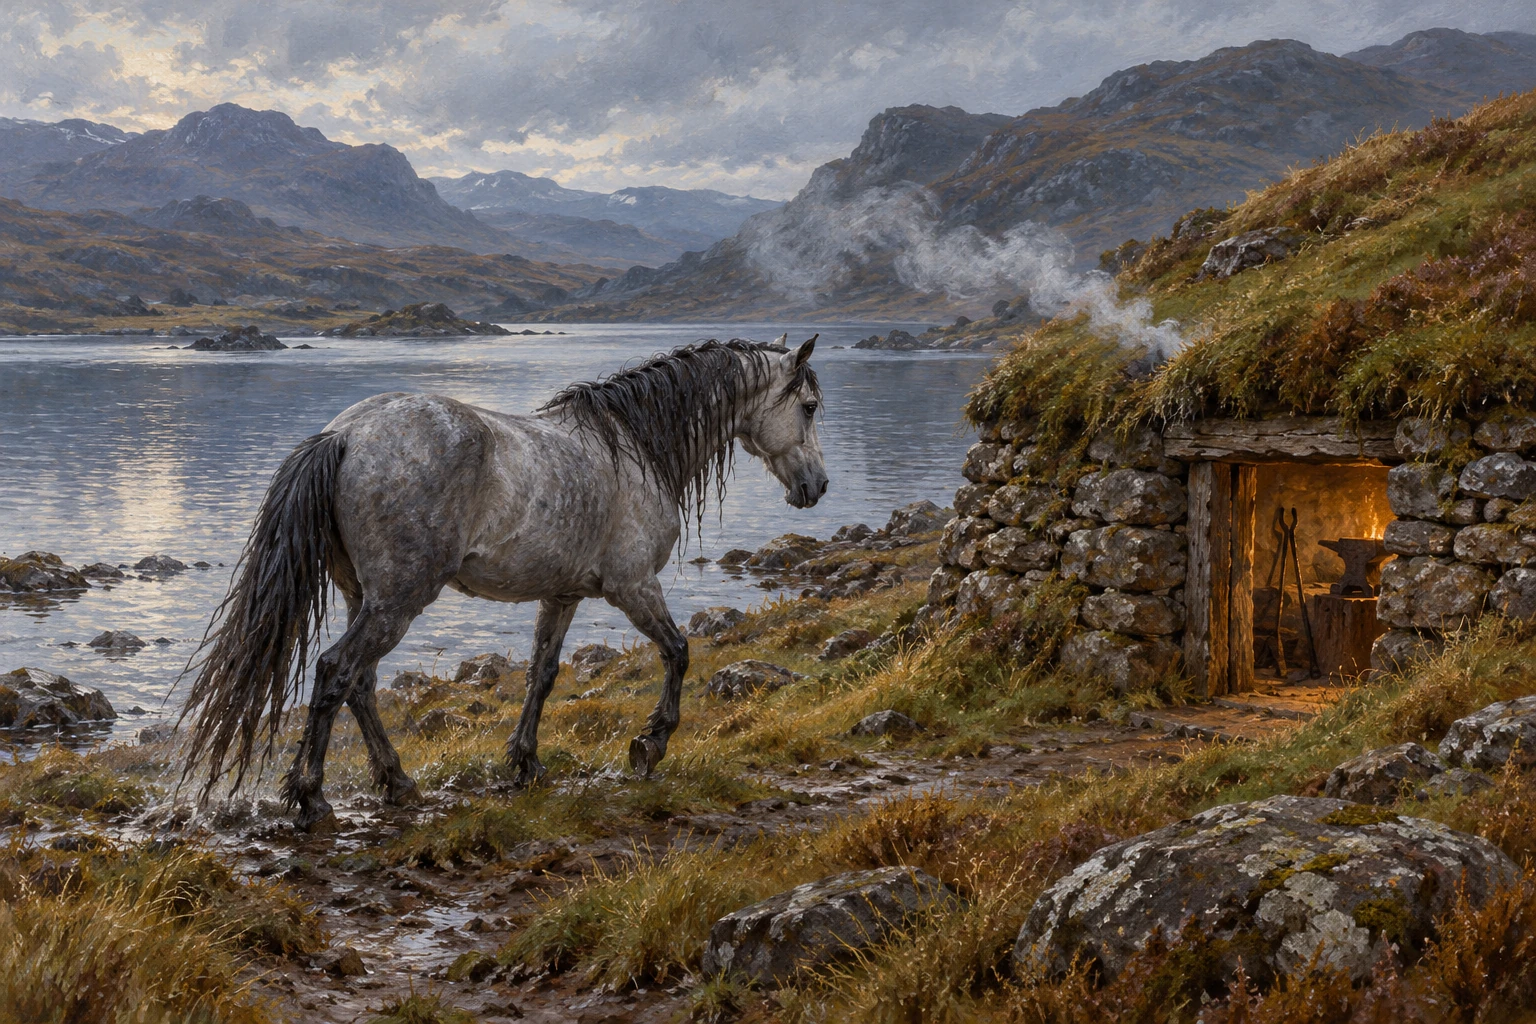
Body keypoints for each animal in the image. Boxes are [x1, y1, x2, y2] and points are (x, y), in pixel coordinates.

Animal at [177, 336, 826, 831]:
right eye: (811, 406)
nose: (816, 487)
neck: (635, 447)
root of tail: (345, 434)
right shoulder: (634, 586)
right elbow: (678, 651)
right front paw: (650, 746)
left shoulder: (563, 594)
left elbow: (543, 673)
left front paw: (527, 764)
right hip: (398, 599)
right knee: (337, 671)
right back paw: (312, 799)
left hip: (366, 596)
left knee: (360, 683)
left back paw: (399, 782)